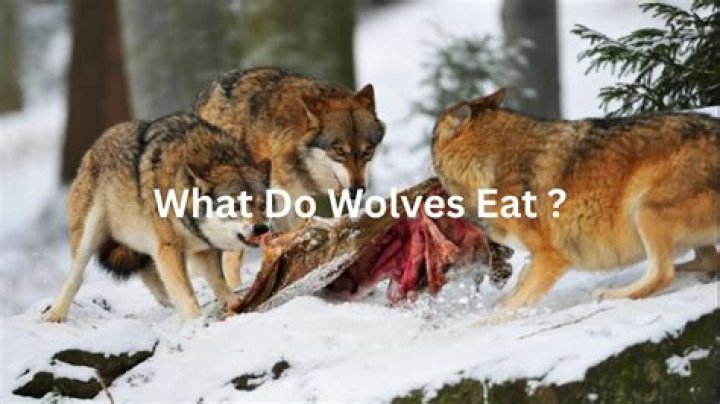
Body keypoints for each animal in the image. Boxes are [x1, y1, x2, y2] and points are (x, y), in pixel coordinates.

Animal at [42, 114, 271, 322]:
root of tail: (94, 145)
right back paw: (55, 314)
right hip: (88, 238)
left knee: (148, 271)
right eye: (236, 205)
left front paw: (237, 305)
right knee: (76, 277)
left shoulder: (203, 249)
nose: (261, 229)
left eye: (263, 205)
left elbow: (219, 284)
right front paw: (197, 325)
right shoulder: (169, 248)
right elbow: (188, 296)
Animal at [432, 89, 719, 310]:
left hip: (644, 210)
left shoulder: (551, 256)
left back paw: (610, 294)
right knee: (704, 262)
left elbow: (513, 305)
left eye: (432, 137)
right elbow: (518, 285)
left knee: (664, 274)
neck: (487, 165)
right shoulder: (537, 258)